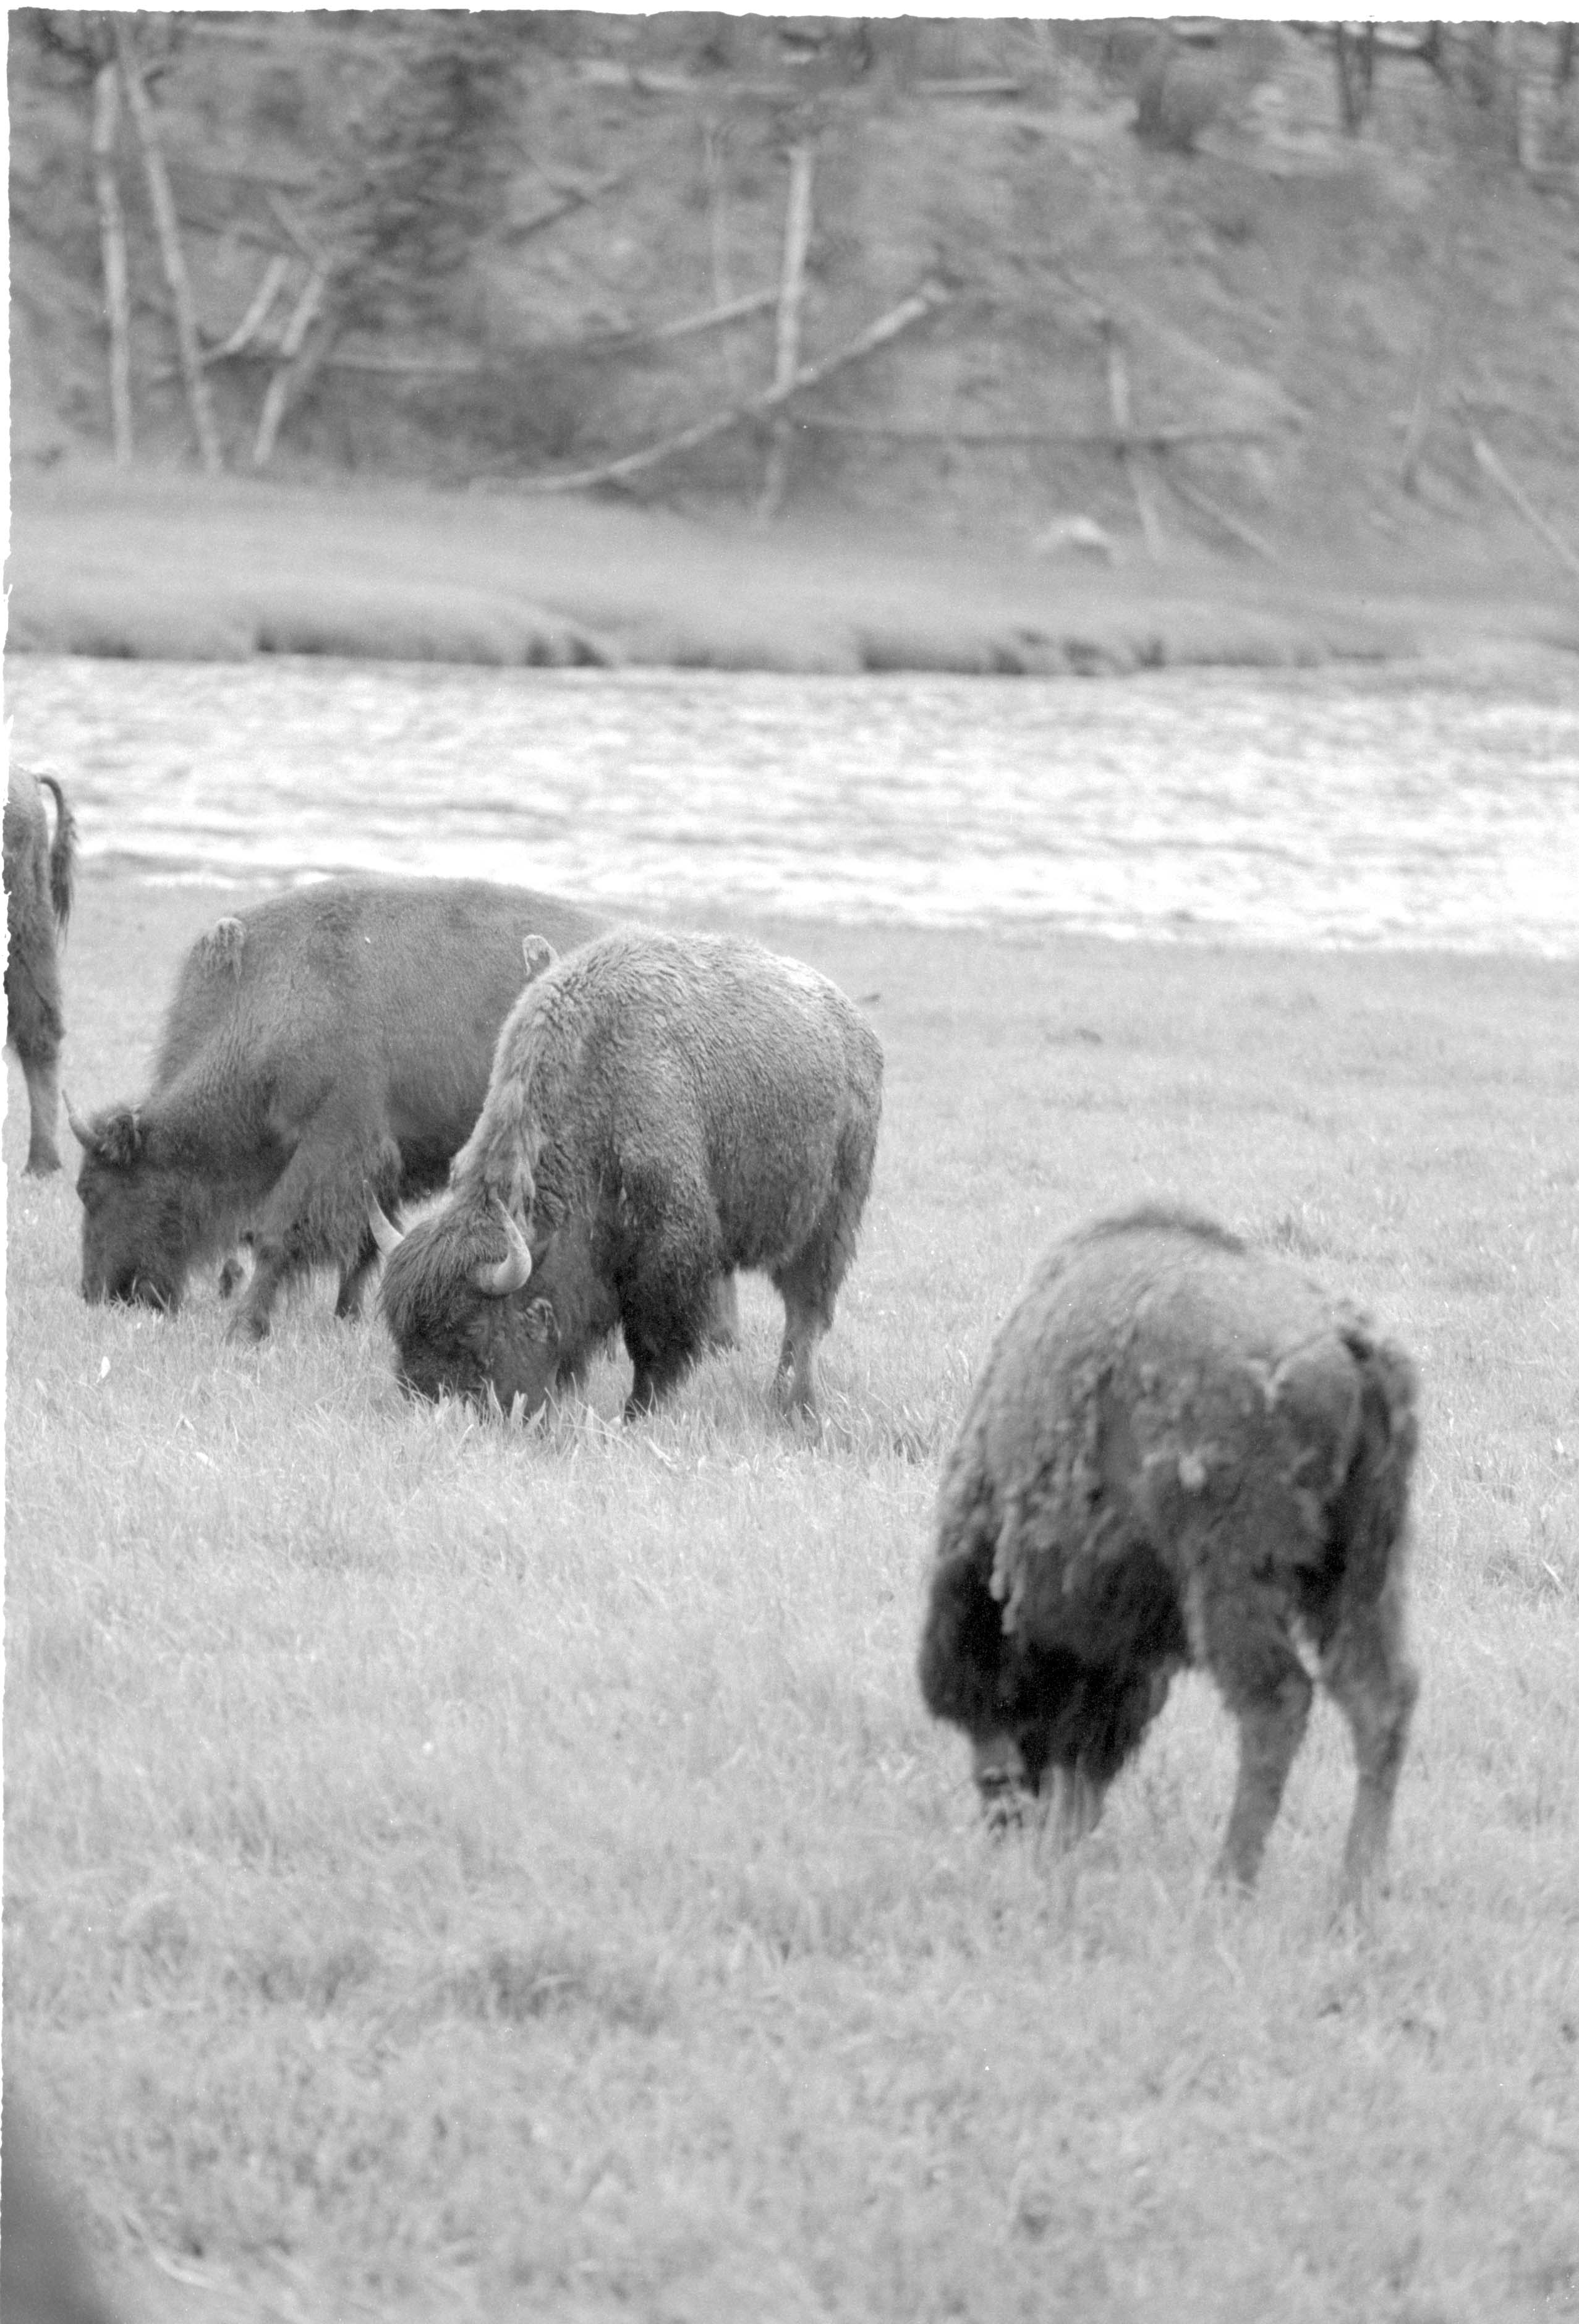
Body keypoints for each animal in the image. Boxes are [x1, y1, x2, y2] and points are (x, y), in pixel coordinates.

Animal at [70, 877, 608, 1339]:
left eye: (92, 1192)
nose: (96, 1294)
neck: (274, 1005)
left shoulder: (332, 1141)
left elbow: (277, 1234)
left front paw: (244, 1328)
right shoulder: (377, 1164)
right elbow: (366, 1243)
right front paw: (346, 1316)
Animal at [376, 927, 883, 1420]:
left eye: (471, 1331)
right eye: (401, 1331)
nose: (425, 1404)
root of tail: (857, 1031)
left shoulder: (667, 1255)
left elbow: (653, 1344)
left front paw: (638, 1413)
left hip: (828, 1223)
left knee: (806, 1313)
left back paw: (794, 1406)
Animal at [919, 1206, 1420, 1902]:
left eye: (991, 1699)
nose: (1003, 1816)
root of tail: (1346, 1346)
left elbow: (1083, 1741)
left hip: (1233, 1578)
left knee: (1277, 1701)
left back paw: (1227, 1885)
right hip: (1365, 1572)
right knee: (1380, 1700)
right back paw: (1354, 1897)